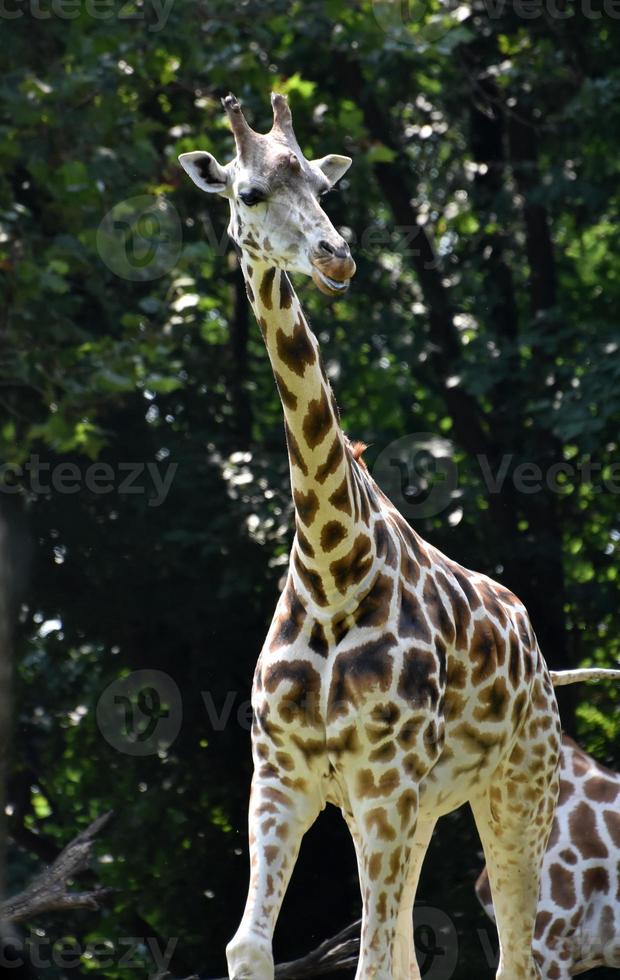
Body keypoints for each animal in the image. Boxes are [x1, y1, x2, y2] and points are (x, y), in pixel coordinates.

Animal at [177, 90, 564, 972]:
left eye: (324, 187)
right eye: (249, 193)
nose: (336, 257)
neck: (330, 566)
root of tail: (535, 647)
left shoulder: (388, 776)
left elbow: (371, 959)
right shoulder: (286, 774)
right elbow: (250, 946)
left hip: (516, 789)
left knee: (515, 953)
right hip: (401, 810)